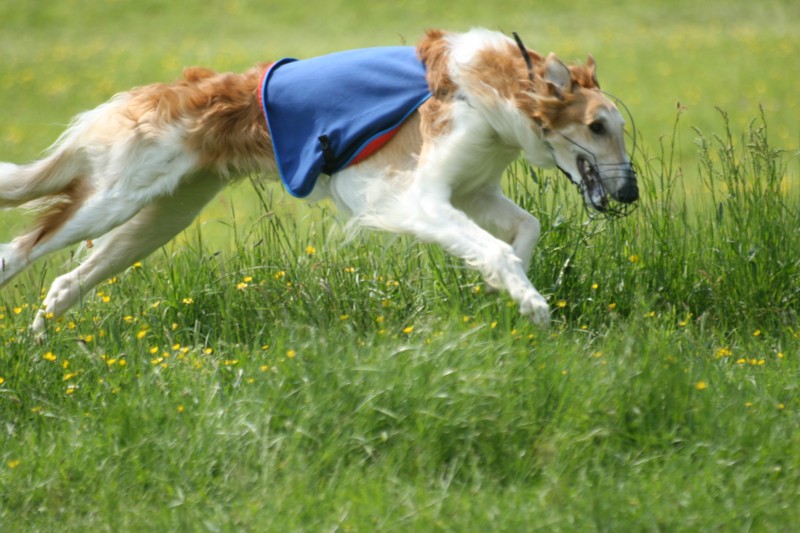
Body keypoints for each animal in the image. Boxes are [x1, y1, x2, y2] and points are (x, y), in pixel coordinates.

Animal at [0, 28, 638, 333]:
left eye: (618, 127)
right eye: (597, 126)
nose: (631, 193)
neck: (489, 88)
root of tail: (157, 92)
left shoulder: (473, 192)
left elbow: (523, 233)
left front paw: (506, 290)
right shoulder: (418, 198)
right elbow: (500, 250)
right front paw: (532, 305)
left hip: (160, 217)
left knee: (64, 282)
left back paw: (42, 338)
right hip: (112, 201)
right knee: (18, 251)